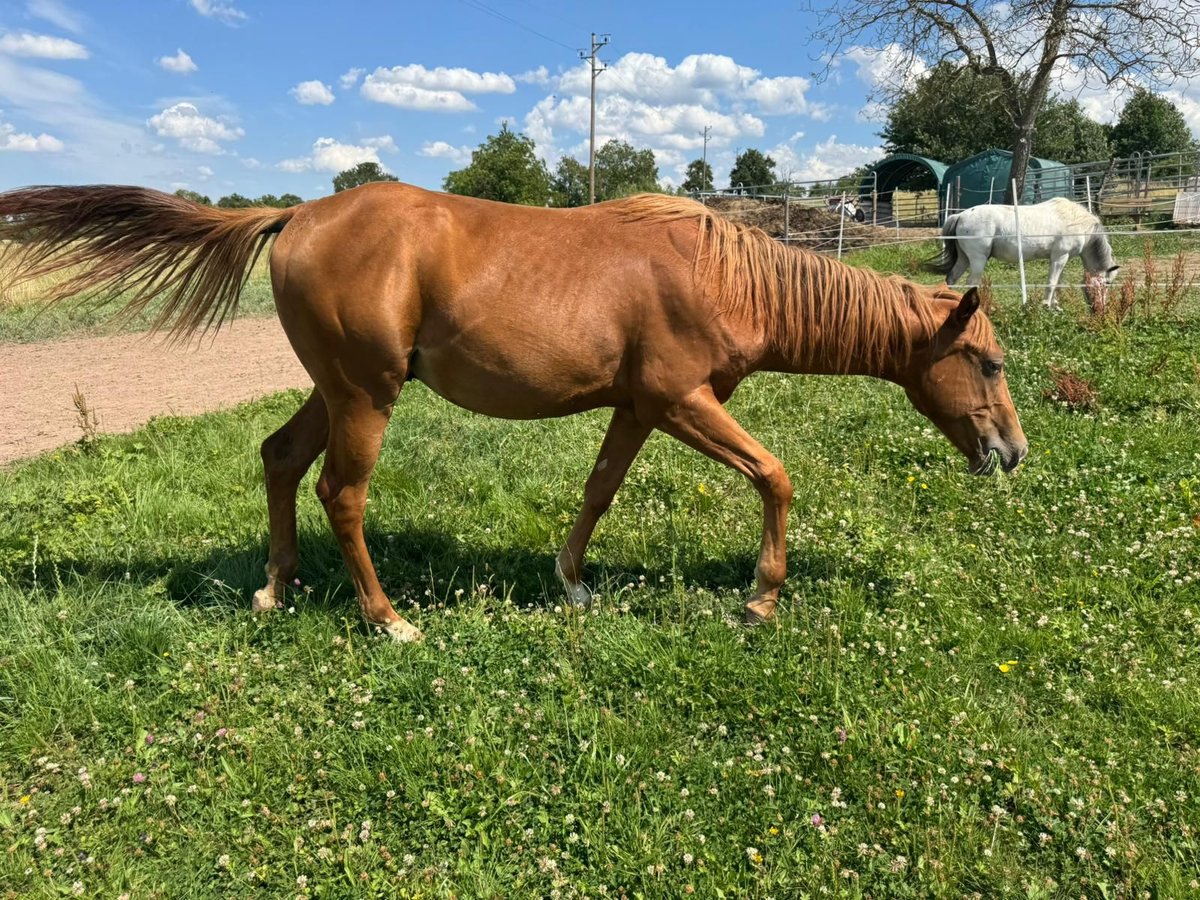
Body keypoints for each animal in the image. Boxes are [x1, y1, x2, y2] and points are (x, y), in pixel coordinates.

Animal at [0, 183, 1028, 640]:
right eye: (987, 360)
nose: (1013, 452)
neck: (720, 273)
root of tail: (298, 214)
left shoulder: (640, 406)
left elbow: (600, 489)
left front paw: (571, 583)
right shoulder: (683, 401)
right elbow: (773, 476)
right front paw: (760, 596)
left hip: (336, 391)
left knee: (280, 460)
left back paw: (274, 589)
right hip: (365, 399)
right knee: (342, 493)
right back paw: (387, 619)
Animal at [929, 197, 1120, 309]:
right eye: (1107, 283)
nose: (1100, 308)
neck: (1077, 222)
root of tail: (960, 216)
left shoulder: (1062, 259)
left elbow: (1058, 283)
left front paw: (1055, 306)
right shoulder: (1059, 257)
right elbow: (1051, 283)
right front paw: (1046, 306)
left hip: (964, 259)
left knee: (952, 279)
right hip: (977, 260)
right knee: (971, 283)